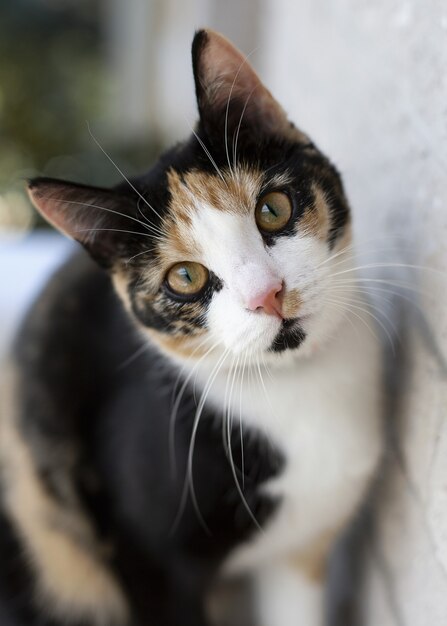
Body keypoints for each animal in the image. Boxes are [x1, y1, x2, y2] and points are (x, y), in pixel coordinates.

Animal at [0, 28, 382, 624]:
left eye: (273, 208)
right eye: (184, 276)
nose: (267, 295)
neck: (297, 385)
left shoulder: (300, 552)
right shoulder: (152, 566)